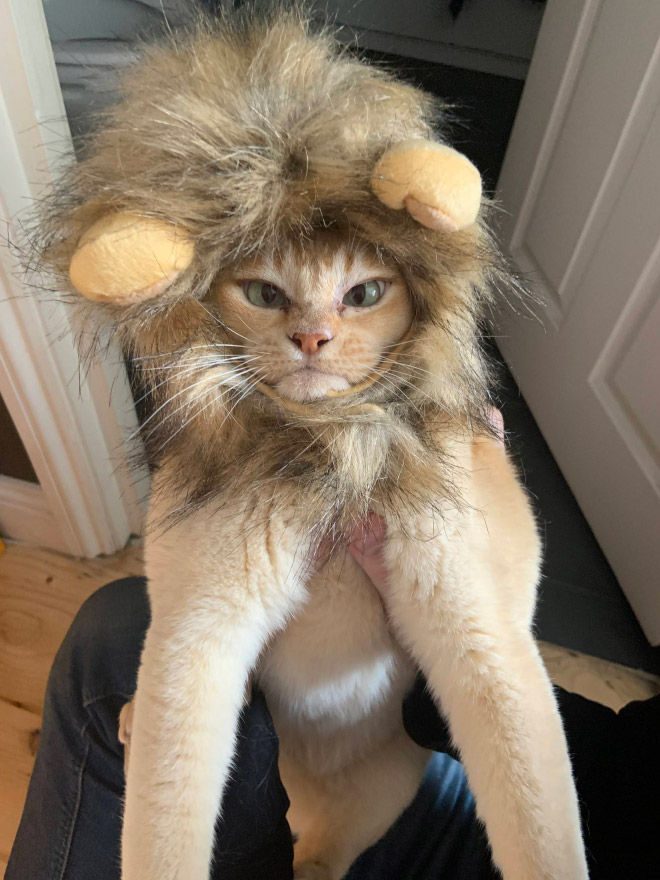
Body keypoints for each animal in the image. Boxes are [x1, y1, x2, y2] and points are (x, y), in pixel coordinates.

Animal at [33, 8, 592, 880]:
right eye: (264, 292)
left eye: (366, 291)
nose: (312, 339)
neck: (326, 458)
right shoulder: (196, 638)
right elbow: (162, 823)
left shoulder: (484, 637)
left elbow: (541, 821)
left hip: (365, 804)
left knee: (323, 858)